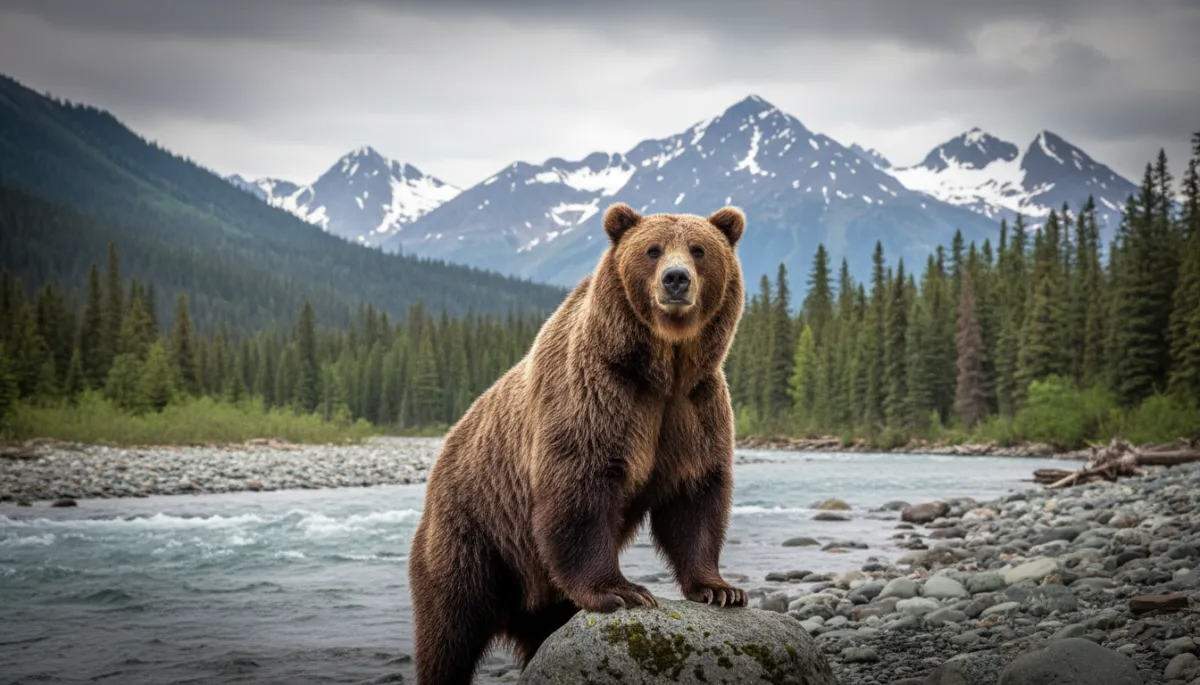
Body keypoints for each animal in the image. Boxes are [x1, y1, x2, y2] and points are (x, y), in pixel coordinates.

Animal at [407, 202, 748, 685]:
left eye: (699, 250)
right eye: (652, 249)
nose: (676, 279)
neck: (662, 367)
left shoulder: (694, 408)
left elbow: (694, 496)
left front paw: (721, 590)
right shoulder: (596, 395)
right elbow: (580, 491)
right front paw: (623, 591)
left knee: (541, 633)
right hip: (475, 532)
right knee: (450, 625)